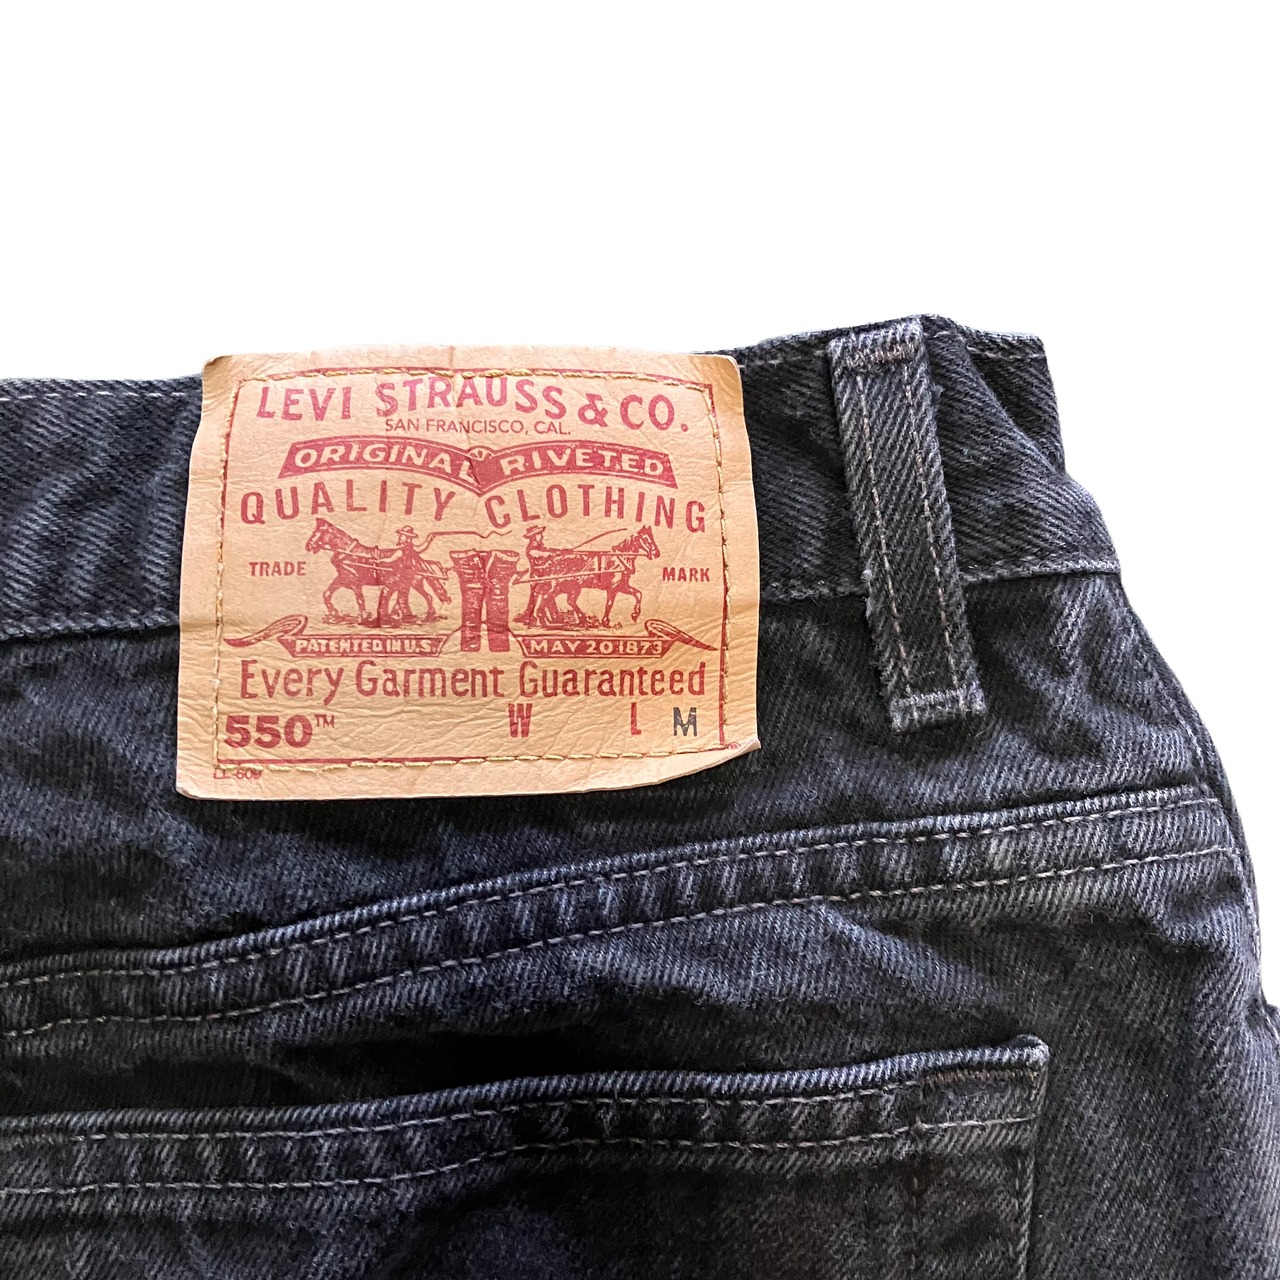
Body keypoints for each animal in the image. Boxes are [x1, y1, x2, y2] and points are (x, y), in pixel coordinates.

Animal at [304, 519, 450, 626]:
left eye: (317, 532)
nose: (308, 546)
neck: (348, 553)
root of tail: (418, 559)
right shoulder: (342, 579)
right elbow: (327, 594)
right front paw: (333, 615)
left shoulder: (356, 583)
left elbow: (360, 600)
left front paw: (363, 617)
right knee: (413, 597)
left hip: (414, 583)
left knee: (426, 596)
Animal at [516, 526, 660, 629]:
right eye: (646, 539)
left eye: (652, 537)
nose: (656, 554)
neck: (620, 559)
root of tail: (550, 562)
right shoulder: (613, 588)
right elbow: (609, 604)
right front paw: (606, 622)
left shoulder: (622, 586)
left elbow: (638, 594)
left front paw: (635, 614)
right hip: (557, 586)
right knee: (547, 598)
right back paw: (543, 619)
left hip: (570, 587)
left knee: (565, 600)